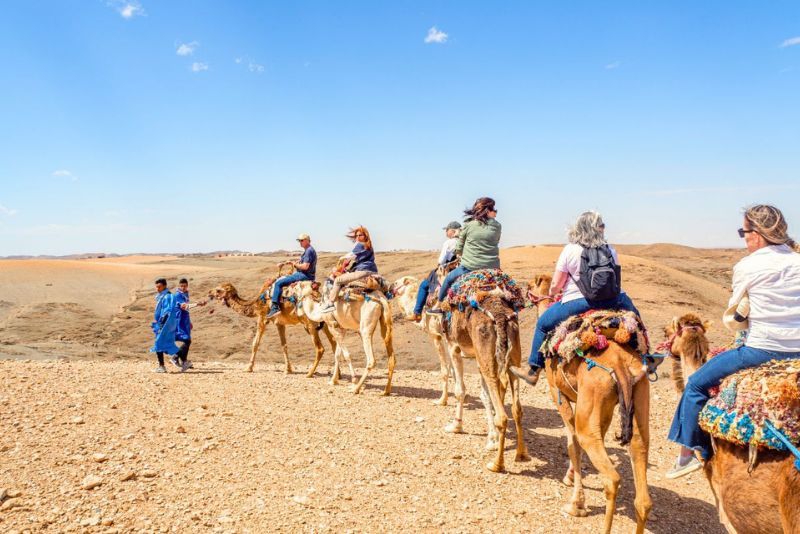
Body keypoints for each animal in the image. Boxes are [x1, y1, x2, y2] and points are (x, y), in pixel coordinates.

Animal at [208, 280, 337, 376]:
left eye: (218, 290)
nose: (209, 292)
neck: (256, 303)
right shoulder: (279, 323)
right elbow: (284, 345)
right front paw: (288, 369)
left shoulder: (262, 317)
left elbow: (255, 343)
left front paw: (248, 368)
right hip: (324, 322)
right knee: (334, 343)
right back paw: (337, 375)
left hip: (309, 323)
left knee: (320, 348)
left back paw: (309, 373)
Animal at [530, 274, 654, 534]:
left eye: (531, 286)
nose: (524, 291)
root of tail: (620, 365)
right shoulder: (598, 408)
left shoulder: (559, 395)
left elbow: (573, 444)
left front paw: (576, 504)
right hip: (639, 393)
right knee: (643, 490)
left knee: (611, 477)